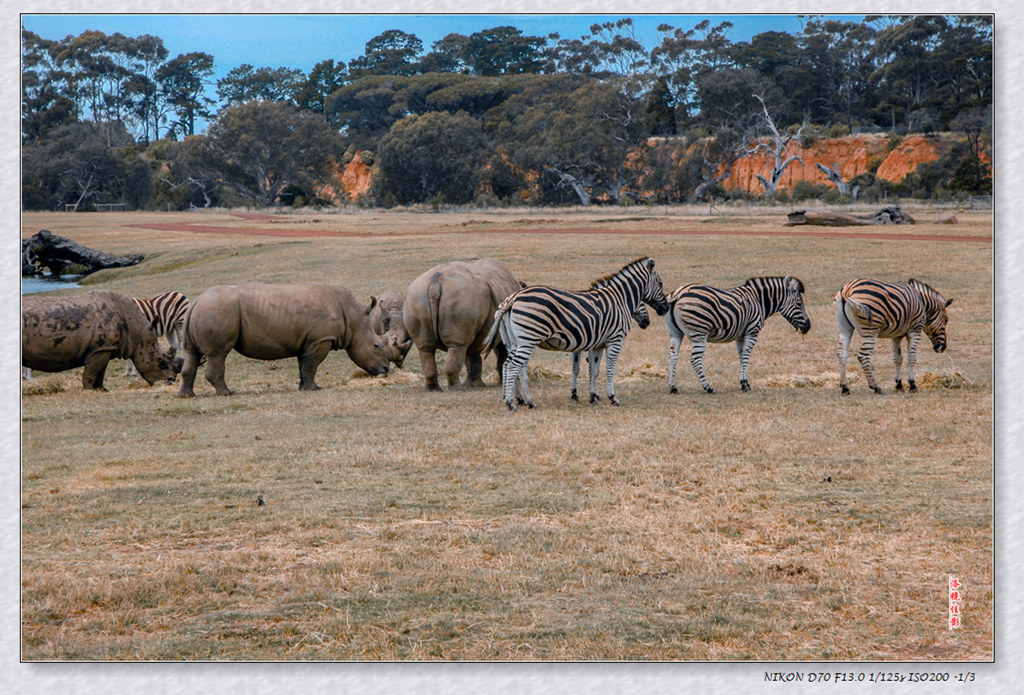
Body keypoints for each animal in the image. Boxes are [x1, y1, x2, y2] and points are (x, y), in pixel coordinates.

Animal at [487, 257, 671, 411]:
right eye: (661, 284)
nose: (666, 308)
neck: (621, 300)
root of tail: (513, 297)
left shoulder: (597, 344)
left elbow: (594, 370)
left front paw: (593, 397)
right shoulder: (615, 340)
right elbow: (609, 369)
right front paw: (612, 398)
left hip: (515, 341)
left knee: (510, 366)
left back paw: (524, 401)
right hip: (528, 339)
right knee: (513, 366)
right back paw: (511, 403)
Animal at [667, 278, 811, 397]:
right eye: (799, 304)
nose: (808, 327)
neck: (759, 301)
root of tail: (678, 294)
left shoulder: (740, 336)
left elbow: (742, 356)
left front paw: (744, 383)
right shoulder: (752, 332)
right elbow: (747, 356)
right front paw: (744, 384)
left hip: (675, 333)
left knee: (673, 356)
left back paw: (673, 388)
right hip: (700, 333)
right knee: (695, 359)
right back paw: (708, 387)